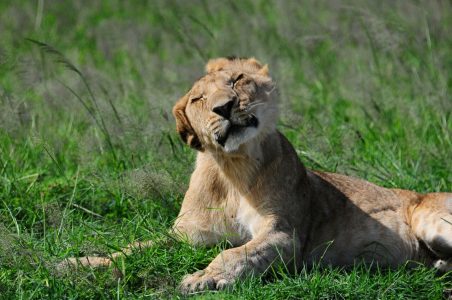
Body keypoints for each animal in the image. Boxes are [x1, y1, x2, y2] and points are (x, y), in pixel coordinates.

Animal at [58, 57, 450, 294]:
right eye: (199, 100)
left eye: (237, 79)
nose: (224, 107)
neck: (234, 169)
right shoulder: (187, 236)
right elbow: (131, 249)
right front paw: (77, 265)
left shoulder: (284, 234)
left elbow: (235, 254)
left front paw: (204, 278)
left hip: (431, 218)